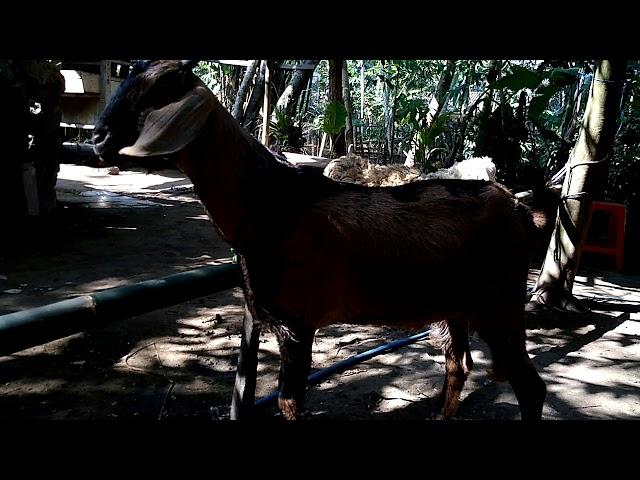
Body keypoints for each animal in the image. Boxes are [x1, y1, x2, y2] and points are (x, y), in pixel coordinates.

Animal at [92, 60, 548, 420]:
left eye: (163, 90)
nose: (98, 138)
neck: (267, 202)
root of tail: (519, 209)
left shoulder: (297, 320)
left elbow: (289, 401)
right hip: (454, 306)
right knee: (459, 365)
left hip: (499, 303)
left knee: (530, 386)